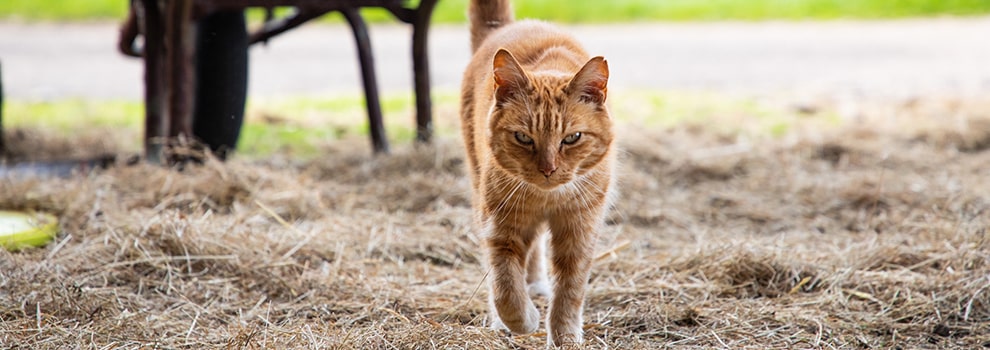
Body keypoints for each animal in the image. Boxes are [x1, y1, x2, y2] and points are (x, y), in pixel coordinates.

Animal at [462, 0, 616, 344]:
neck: (546, 198)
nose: (548, 169)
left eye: (571, 138)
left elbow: (570, 292)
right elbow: (505, 287)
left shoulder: (580, 232)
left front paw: (565, 338)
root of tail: (513, 26)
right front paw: (522, 320)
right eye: (523, 137)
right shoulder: (500, 228)